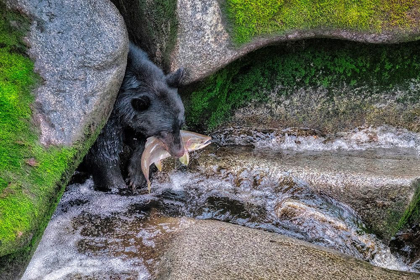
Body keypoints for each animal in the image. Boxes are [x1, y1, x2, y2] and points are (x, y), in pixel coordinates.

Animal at [84, 43, 185, 192]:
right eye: (165, 131)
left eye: (180, 124)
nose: (179, 152)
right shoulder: (106, 116)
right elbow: (104, 148)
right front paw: (115, 183)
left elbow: (141, 139)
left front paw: (137, 176)